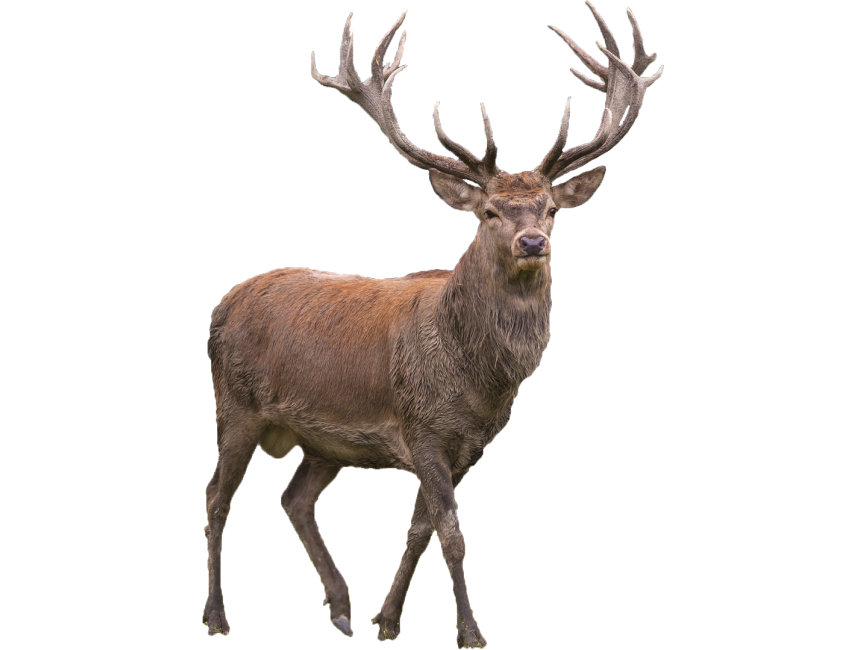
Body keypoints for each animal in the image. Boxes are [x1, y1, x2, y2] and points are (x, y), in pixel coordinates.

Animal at [203, 3, 662, 646]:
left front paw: (387, 620)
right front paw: (470, 632)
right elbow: (452, 532)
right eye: (489, 211)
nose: (532, 241)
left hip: (324, 442)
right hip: (236, 406)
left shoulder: (468, 445)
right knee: (216, 500)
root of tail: (224, 302)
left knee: (293, 498)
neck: (476, 380)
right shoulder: (420, 429)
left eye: (551, 209)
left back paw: (340, 608)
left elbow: (421, 529)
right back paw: (217, 616)